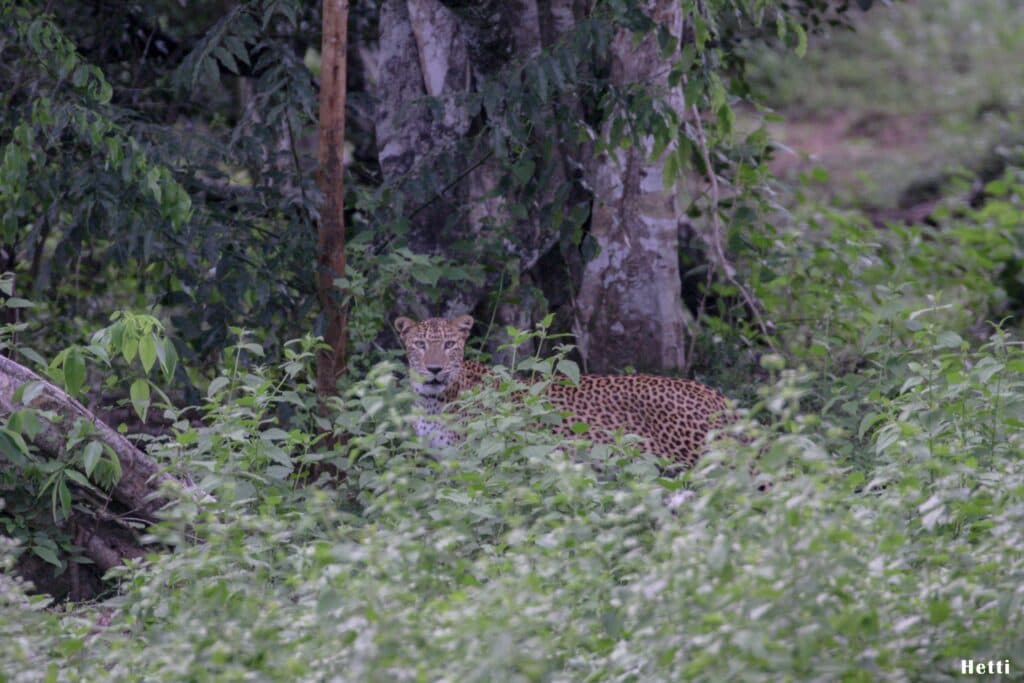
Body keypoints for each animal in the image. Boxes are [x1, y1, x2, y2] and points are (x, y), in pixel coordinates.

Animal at [394, 315, 733, 467]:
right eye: (420, 344)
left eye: (449, 344)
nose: (434, 369)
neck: (431, 401)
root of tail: (718, 397)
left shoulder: (480, 458)